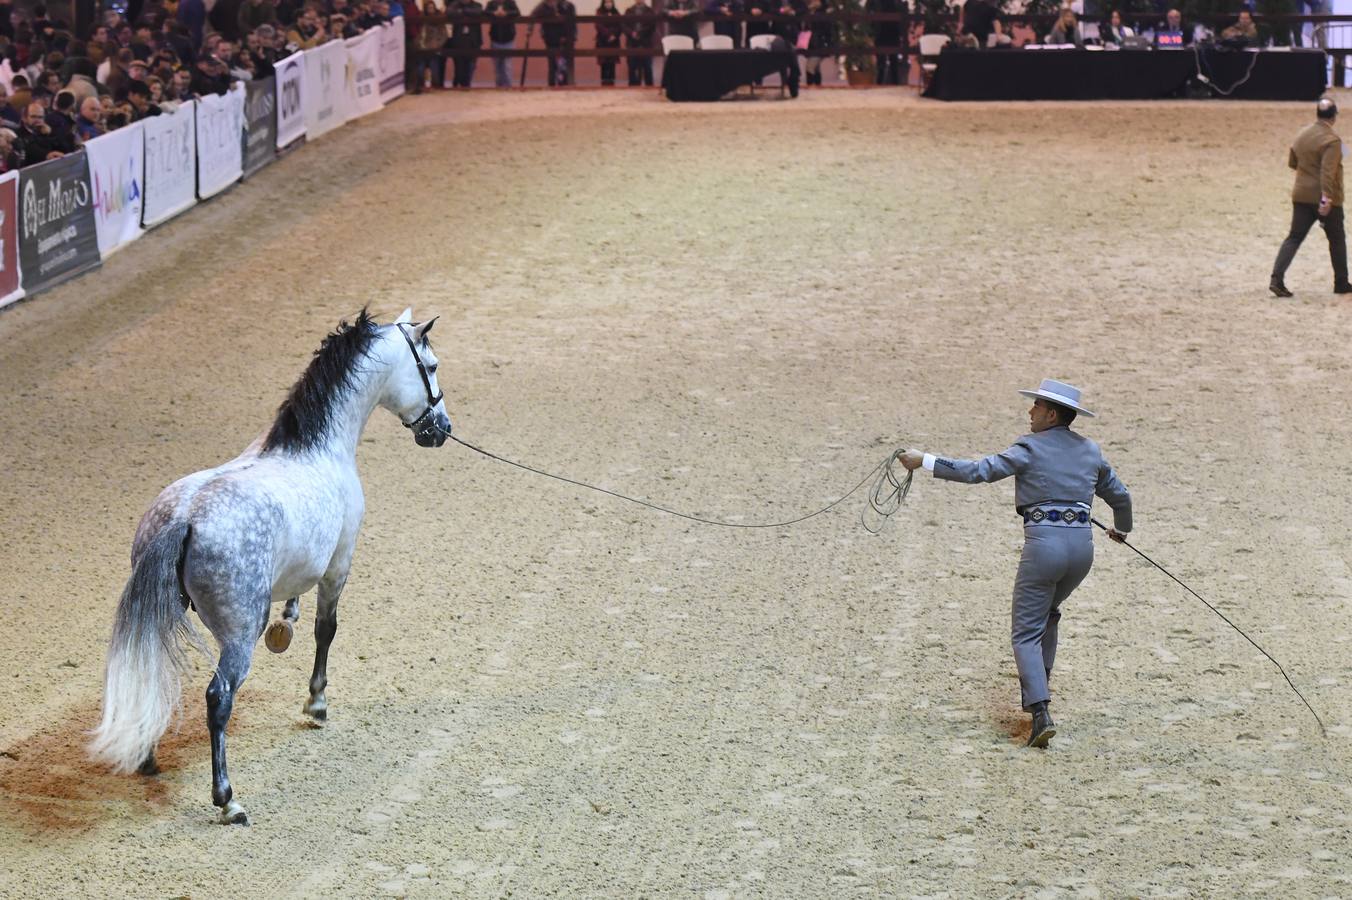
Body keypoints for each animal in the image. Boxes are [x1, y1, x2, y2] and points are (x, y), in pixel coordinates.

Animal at [87, 306, 451, 821]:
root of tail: (184, 516)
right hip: (240, 632)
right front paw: (316, 704)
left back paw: (147, 755)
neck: (315, 449)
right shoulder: (339, 567)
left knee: (151, 672)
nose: (442, 429)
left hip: (165, 615)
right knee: (218, 697)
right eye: (432, 366)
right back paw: (227, 800)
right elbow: (326, 630)